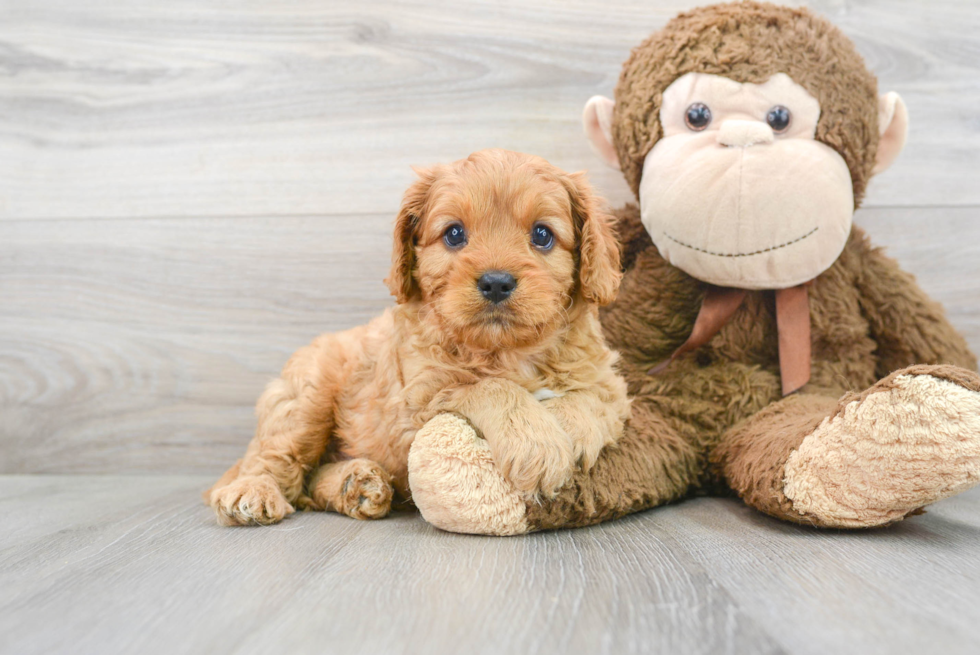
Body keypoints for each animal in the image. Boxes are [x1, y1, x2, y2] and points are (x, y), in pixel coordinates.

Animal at [205, 150, 628, 528]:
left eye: (542, 235)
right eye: (454, 234)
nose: (496, 282)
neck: (506, 351)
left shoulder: (609, 383)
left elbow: (591, 400)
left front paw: (567, 431)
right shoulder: (418, 401)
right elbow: (489, 388)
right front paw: (537, 444)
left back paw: (355, 485)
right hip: (306, 399)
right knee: (274, 459)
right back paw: (254, 492)